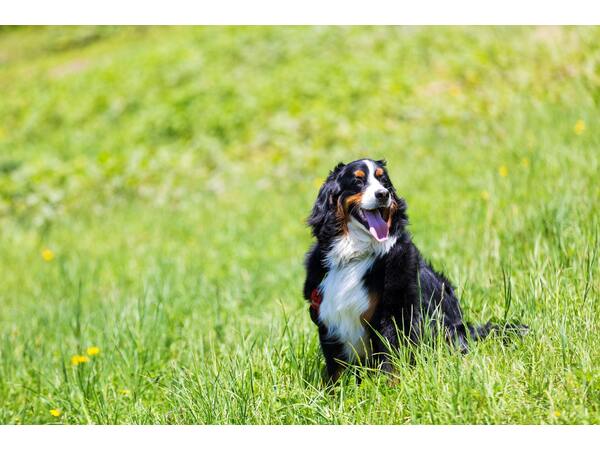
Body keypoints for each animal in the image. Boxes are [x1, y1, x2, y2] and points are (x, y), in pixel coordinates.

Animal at [304, 160, 524, 382]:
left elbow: (392, 359)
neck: (357, 254)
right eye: (358, 181)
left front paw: (389, 387)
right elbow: (336, 370)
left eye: (383, 180)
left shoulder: (396, 312)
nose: (383, 194)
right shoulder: (328, 320)